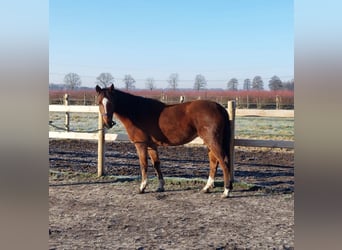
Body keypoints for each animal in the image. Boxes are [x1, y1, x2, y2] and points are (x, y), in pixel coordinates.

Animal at [95, 85, 232, 198]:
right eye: (99, 102)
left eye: (111, 101)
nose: (108, 123)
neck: (137, 111)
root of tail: (219, 107)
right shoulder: (152, 145)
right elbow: (156, 164)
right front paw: (160, 187)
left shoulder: (141, 144)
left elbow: (143, 164)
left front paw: (142, 187)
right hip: (209, 142)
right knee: (214, 162)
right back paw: (207, 188)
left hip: (212, 141)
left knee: (223, 162)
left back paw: (226, 191)